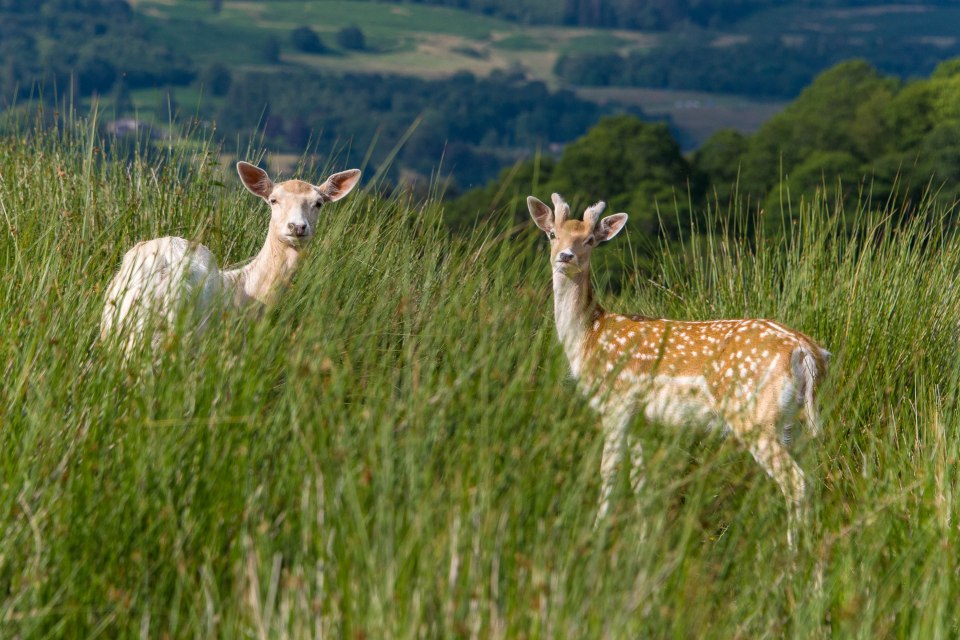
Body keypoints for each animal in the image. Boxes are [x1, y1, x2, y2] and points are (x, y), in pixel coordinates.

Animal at [528, 192, 828, 548]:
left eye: (589, 239)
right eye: (552, 234)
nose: (565, 256)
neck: (589, 336)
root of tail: (806, 351)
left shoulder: (616, 403)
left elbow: (609, 474)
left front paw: (597, 537)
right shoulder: (641, 419)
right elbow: (640, 482)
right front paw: (643, 542)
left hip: (754, 415)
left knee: (797, 482)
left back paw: (793, 554)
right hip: (794, 422)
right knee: (811, 476)